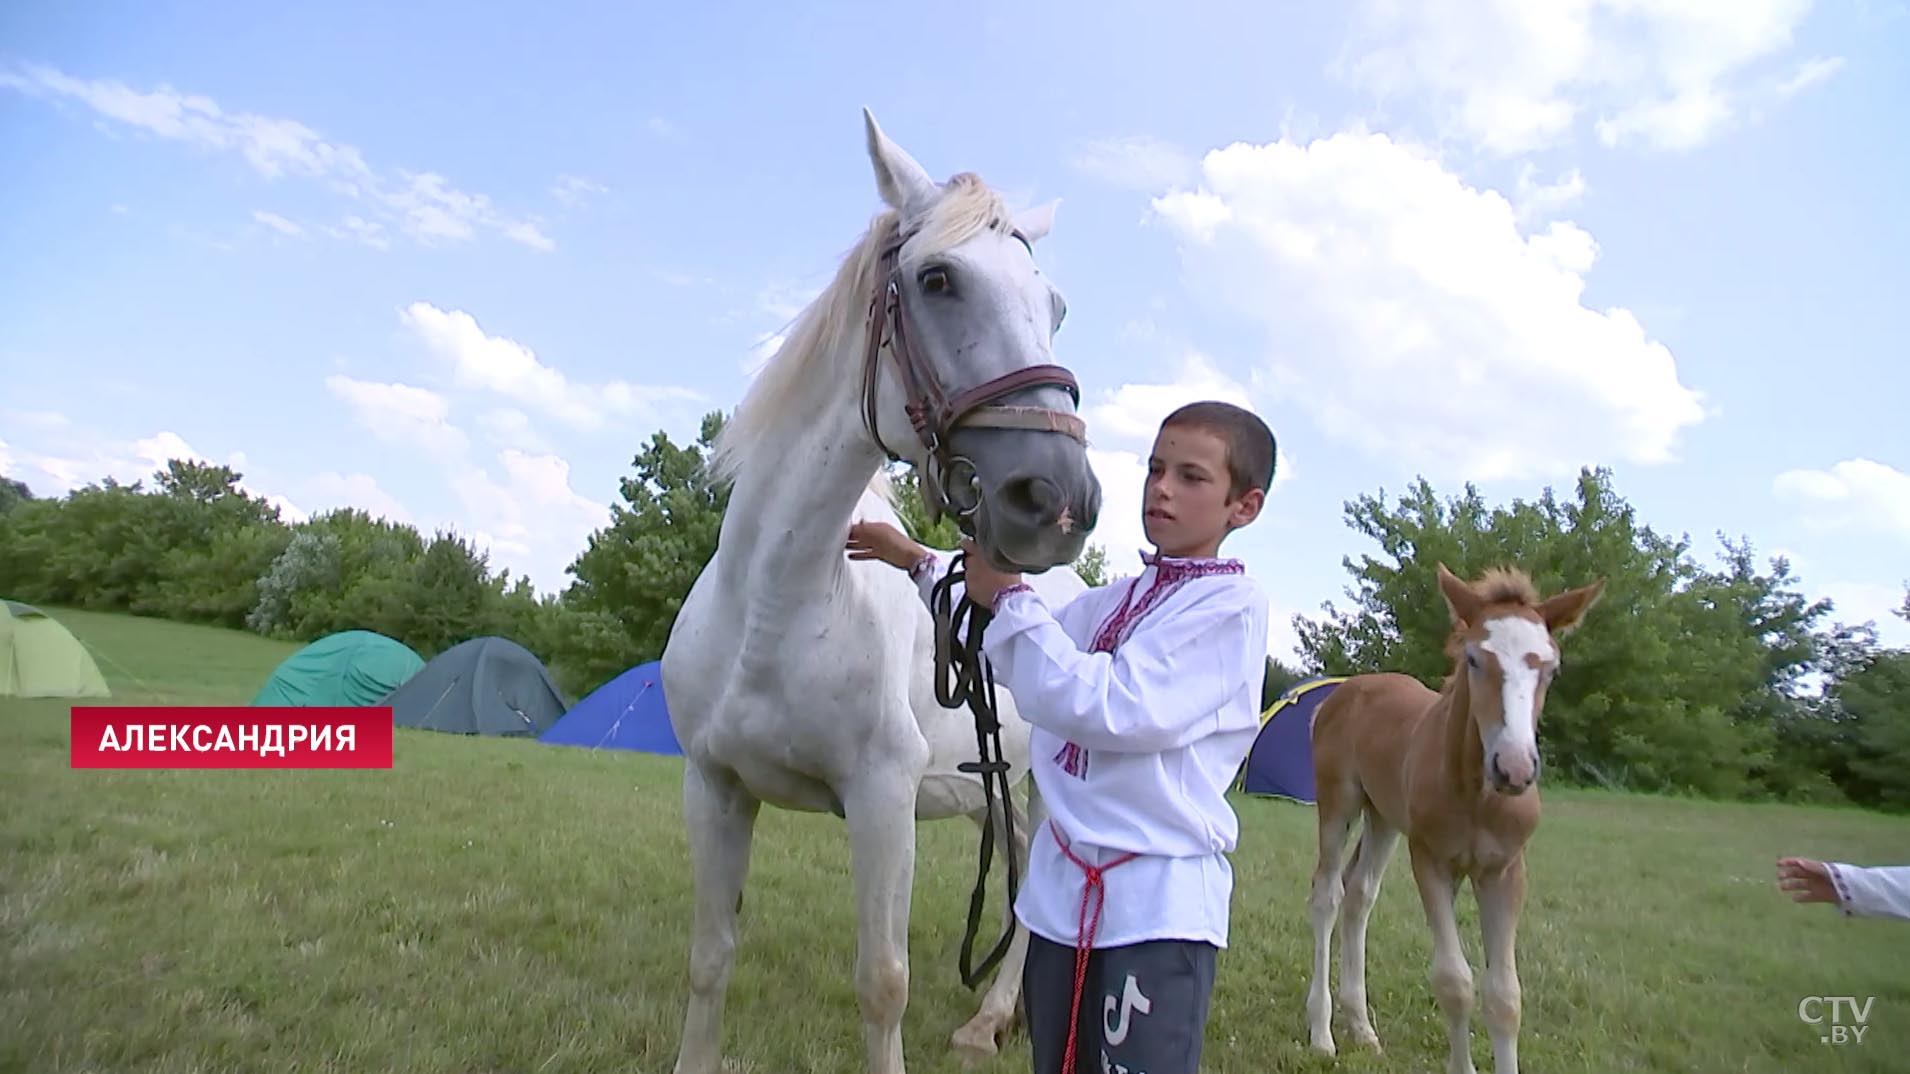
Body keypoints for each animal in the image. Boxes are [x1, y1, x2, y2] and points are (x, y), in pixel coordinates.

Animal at [660, 110, 1100, 1070]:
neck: (776, 610)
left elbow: (882, 984)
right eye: (938, 280)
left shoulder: (881, 804)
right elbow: (708, 959)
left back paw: (986, 1021)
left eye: (1054, 307)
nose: (1058, 502)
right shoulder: (714, 787)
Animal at [1306, 561, 1604, 1070]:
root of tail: (1344, 692)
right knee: (1327, 894)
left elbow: (1505, 997)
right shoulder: (1431, 861)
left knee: (1359, 895)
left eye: (1551, 667)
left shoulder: (1504, 871)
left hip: (1383, 818)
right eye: (1474, 660)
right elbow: (1455, 982)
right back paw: (1323, 1033)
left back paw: (1361, 1027)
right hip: (1338, 802)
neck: (1476, 795)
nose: (1514, 767)